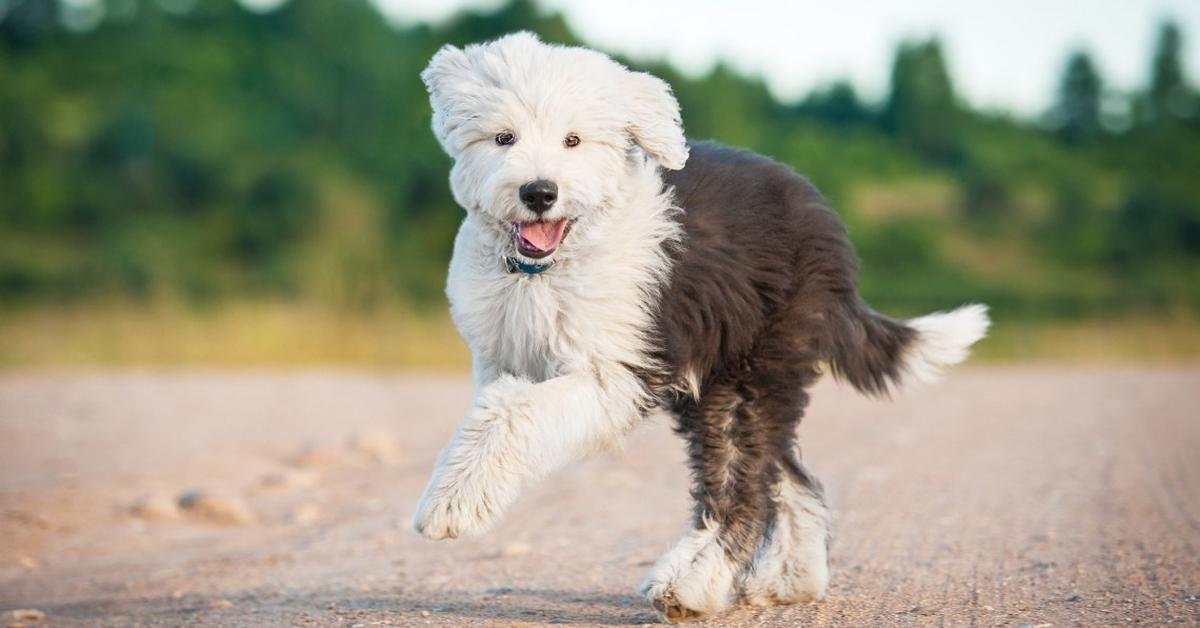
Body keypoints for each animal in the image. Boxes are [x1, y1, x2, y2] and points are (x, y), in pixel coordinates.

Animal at [412, 31, 993, 619]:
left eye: (573, 140)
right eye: (503, 137)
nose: (539, 192)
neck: (545, 272)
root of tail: (826, 227)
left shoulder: (615, 372)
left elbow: (512, 413)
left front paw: (449, 505)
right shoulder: (499, 356)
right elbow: (490, 416)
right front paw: (457, 490)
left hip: (752, 371)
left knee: (746, 485)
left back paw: (690, 584)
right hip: (727, 377)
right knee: (787, 476)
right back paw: (791, 580)